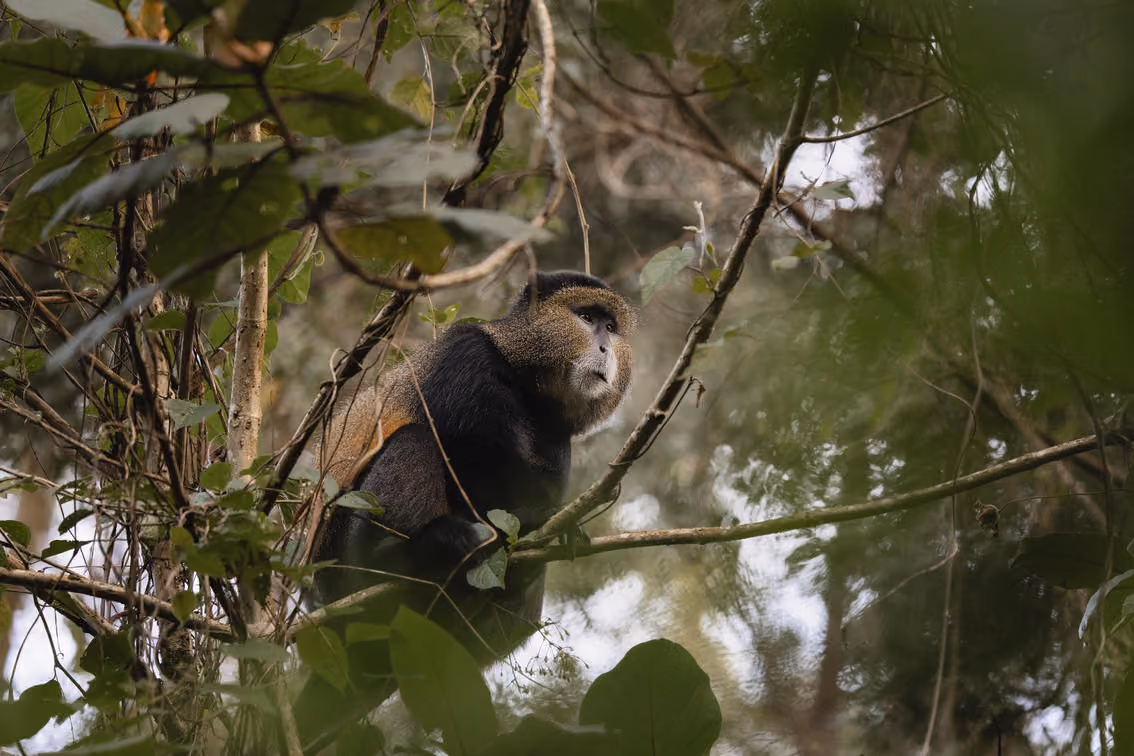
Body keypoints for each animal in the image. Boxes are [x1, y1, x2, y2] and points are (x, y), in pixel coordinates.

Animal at [295, 271, 635, 748]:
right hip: (341, 572)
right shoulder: (467, 354)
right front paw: (534, 523)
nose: (605, 348)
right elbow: (470, 456)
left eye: (612, 327)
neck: (524, 377)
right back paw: (405, 556)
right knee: (415, 440)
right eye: (586, 318)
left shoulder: (558, 435)